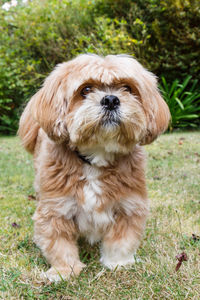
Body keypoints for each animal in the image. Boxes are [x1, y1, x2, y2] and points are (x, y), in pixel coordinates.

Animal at [18, 54, 170, 282]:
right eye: (86, 89)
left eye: (127, 88)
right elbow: (58, 243)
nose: (110, 100)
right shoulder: (55, 208)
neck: (96, 159)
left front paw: (118, 264)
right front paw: (64, 271)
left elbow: (122, 241)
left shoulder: (129, 206)